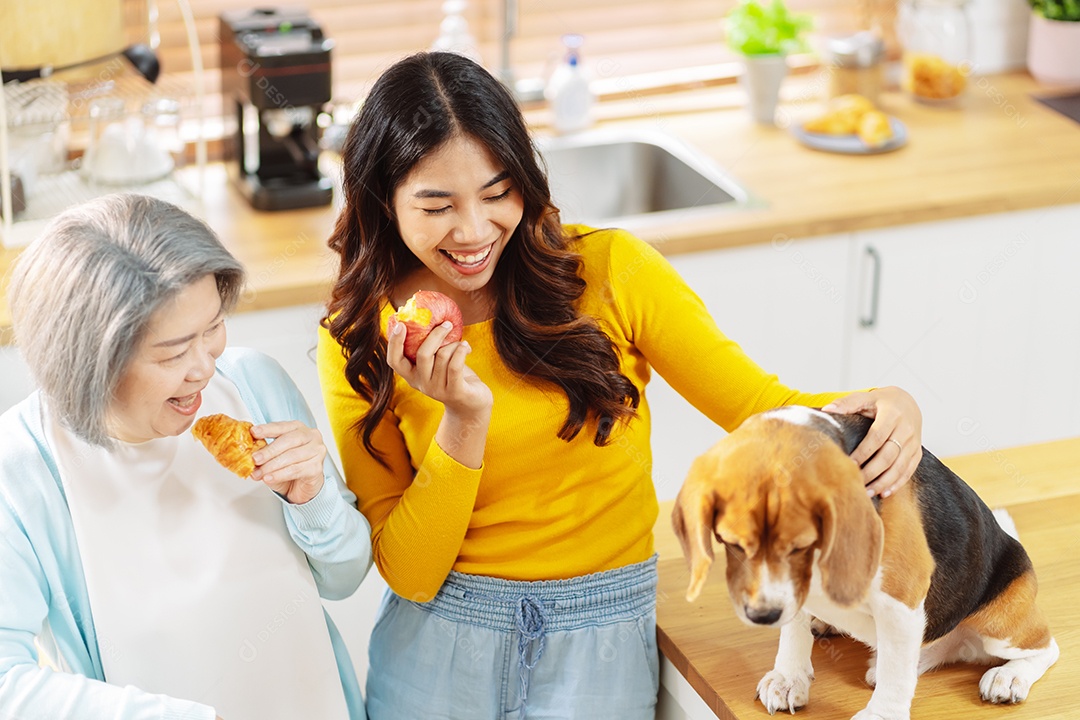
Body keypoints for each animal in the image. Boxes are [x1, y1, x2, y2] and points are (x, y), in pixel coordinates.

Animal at [669, 405, 1058, 720]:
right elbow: (794, 629)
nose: (763, 616)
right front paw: (788, 676)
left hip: (1001, 623)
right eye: (732, 543)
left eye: (800, 545)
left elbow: (894, 675)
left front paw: (881, 714)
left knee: (1046, 648)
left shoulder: (900, 598)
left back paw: (1010, 676)